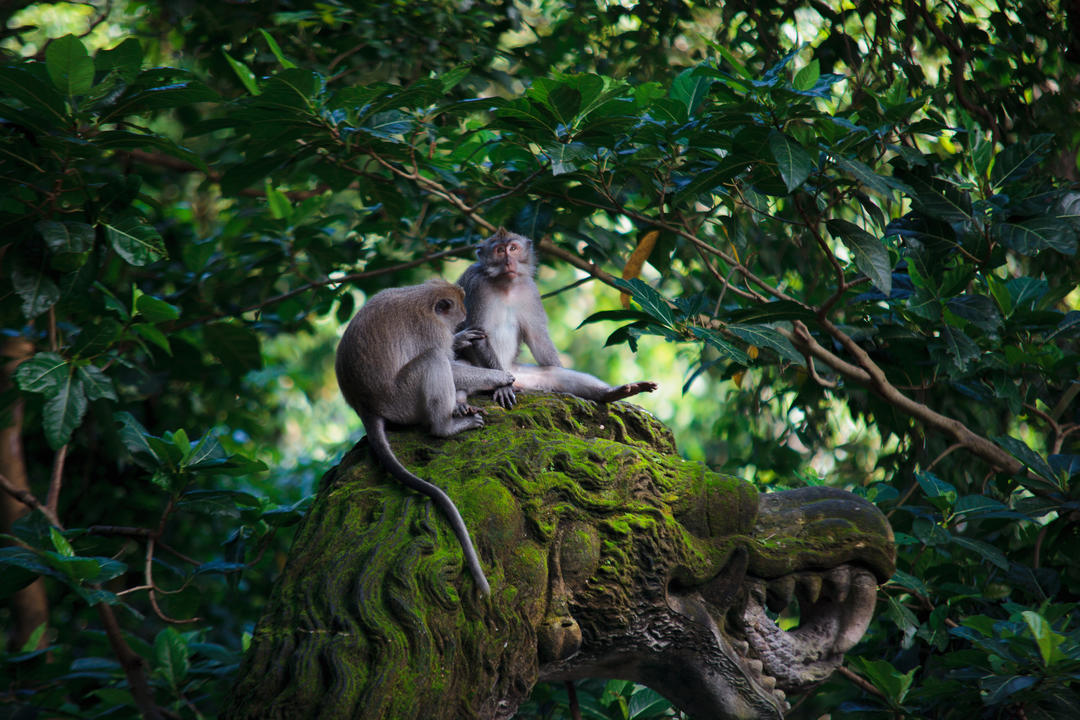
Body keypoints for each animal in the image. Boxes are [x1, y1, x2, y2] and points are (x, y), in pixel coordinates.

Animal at [334, 278, 516, 595]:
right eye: (459, 312)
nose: (462, 324)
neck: (422, 297)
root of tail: (365, 408)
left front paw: (463, 341)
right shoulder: (431, 331)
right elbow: (446, 361)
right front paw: (500, 377)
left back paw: (460, 404)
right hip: (402, 400)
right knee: (434, 361)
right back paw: (446, 425)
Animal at [455, 227, 656, 408]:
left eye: (512, 249)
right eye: (499, 250)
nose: (508, 262)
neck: (505, 285)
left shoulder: (530, 290)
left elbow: (538, 339)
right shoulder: (476, 285)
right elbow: (479, 334)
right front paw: (503, 387)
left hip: (518, 374)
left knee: (554, 373)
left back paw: (613, 393)